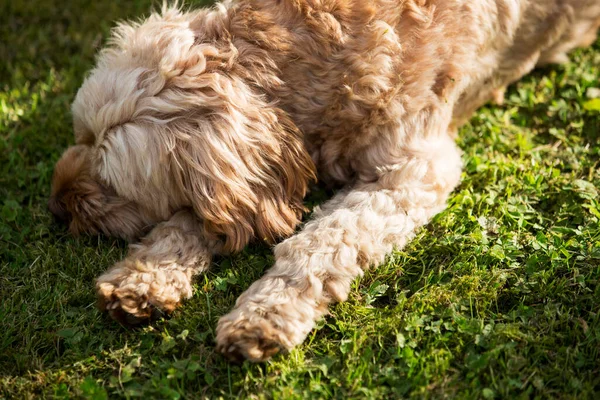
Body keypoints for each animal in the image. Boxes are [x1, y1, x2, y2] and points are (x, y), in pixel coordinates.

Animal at [50, 0, 600, 362]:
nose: (56, 208)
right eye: (81, 135)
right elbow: (196, 216)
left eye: (112, 179)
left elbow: (320, 243)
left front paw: (265, 315)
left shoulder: (410, 172)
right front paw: (144, 276)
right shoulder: (250, 181)